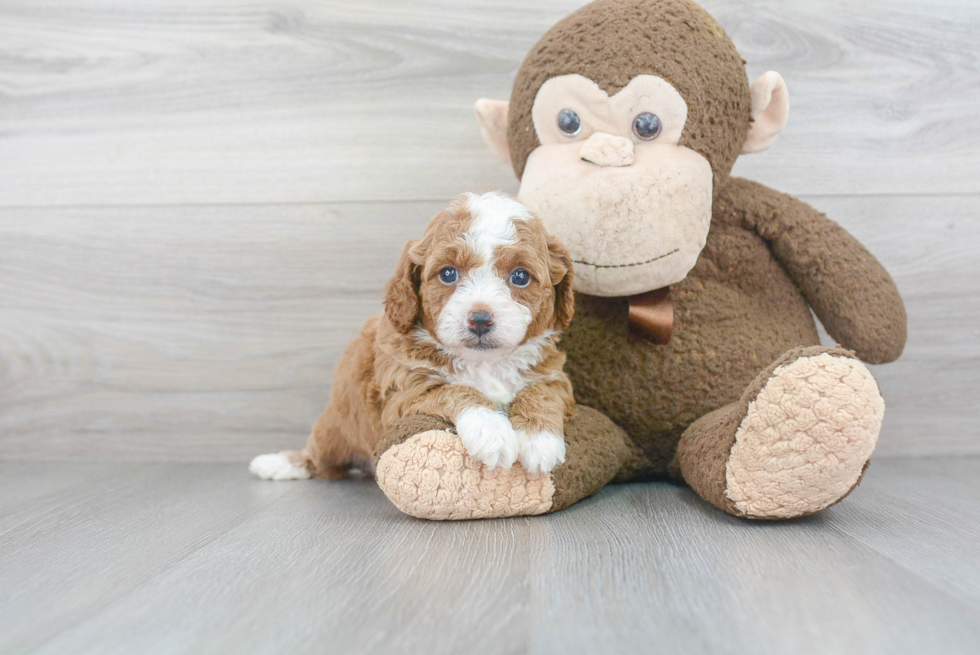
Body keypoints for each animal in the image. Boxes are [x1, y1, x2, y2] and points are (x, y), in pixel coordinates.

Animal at [249, 190, 580, 482]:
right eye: (448, 274)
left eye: (520, 276)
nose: (480, 320)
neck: (484, 364)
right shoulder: (403, 389)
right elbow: (453, 390)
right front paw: (491, 432)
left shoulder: (553, 376)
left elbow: (540, 392)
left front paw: (539, 441)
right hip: (335, 430)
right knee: (317, 457)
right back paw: (277, 464)